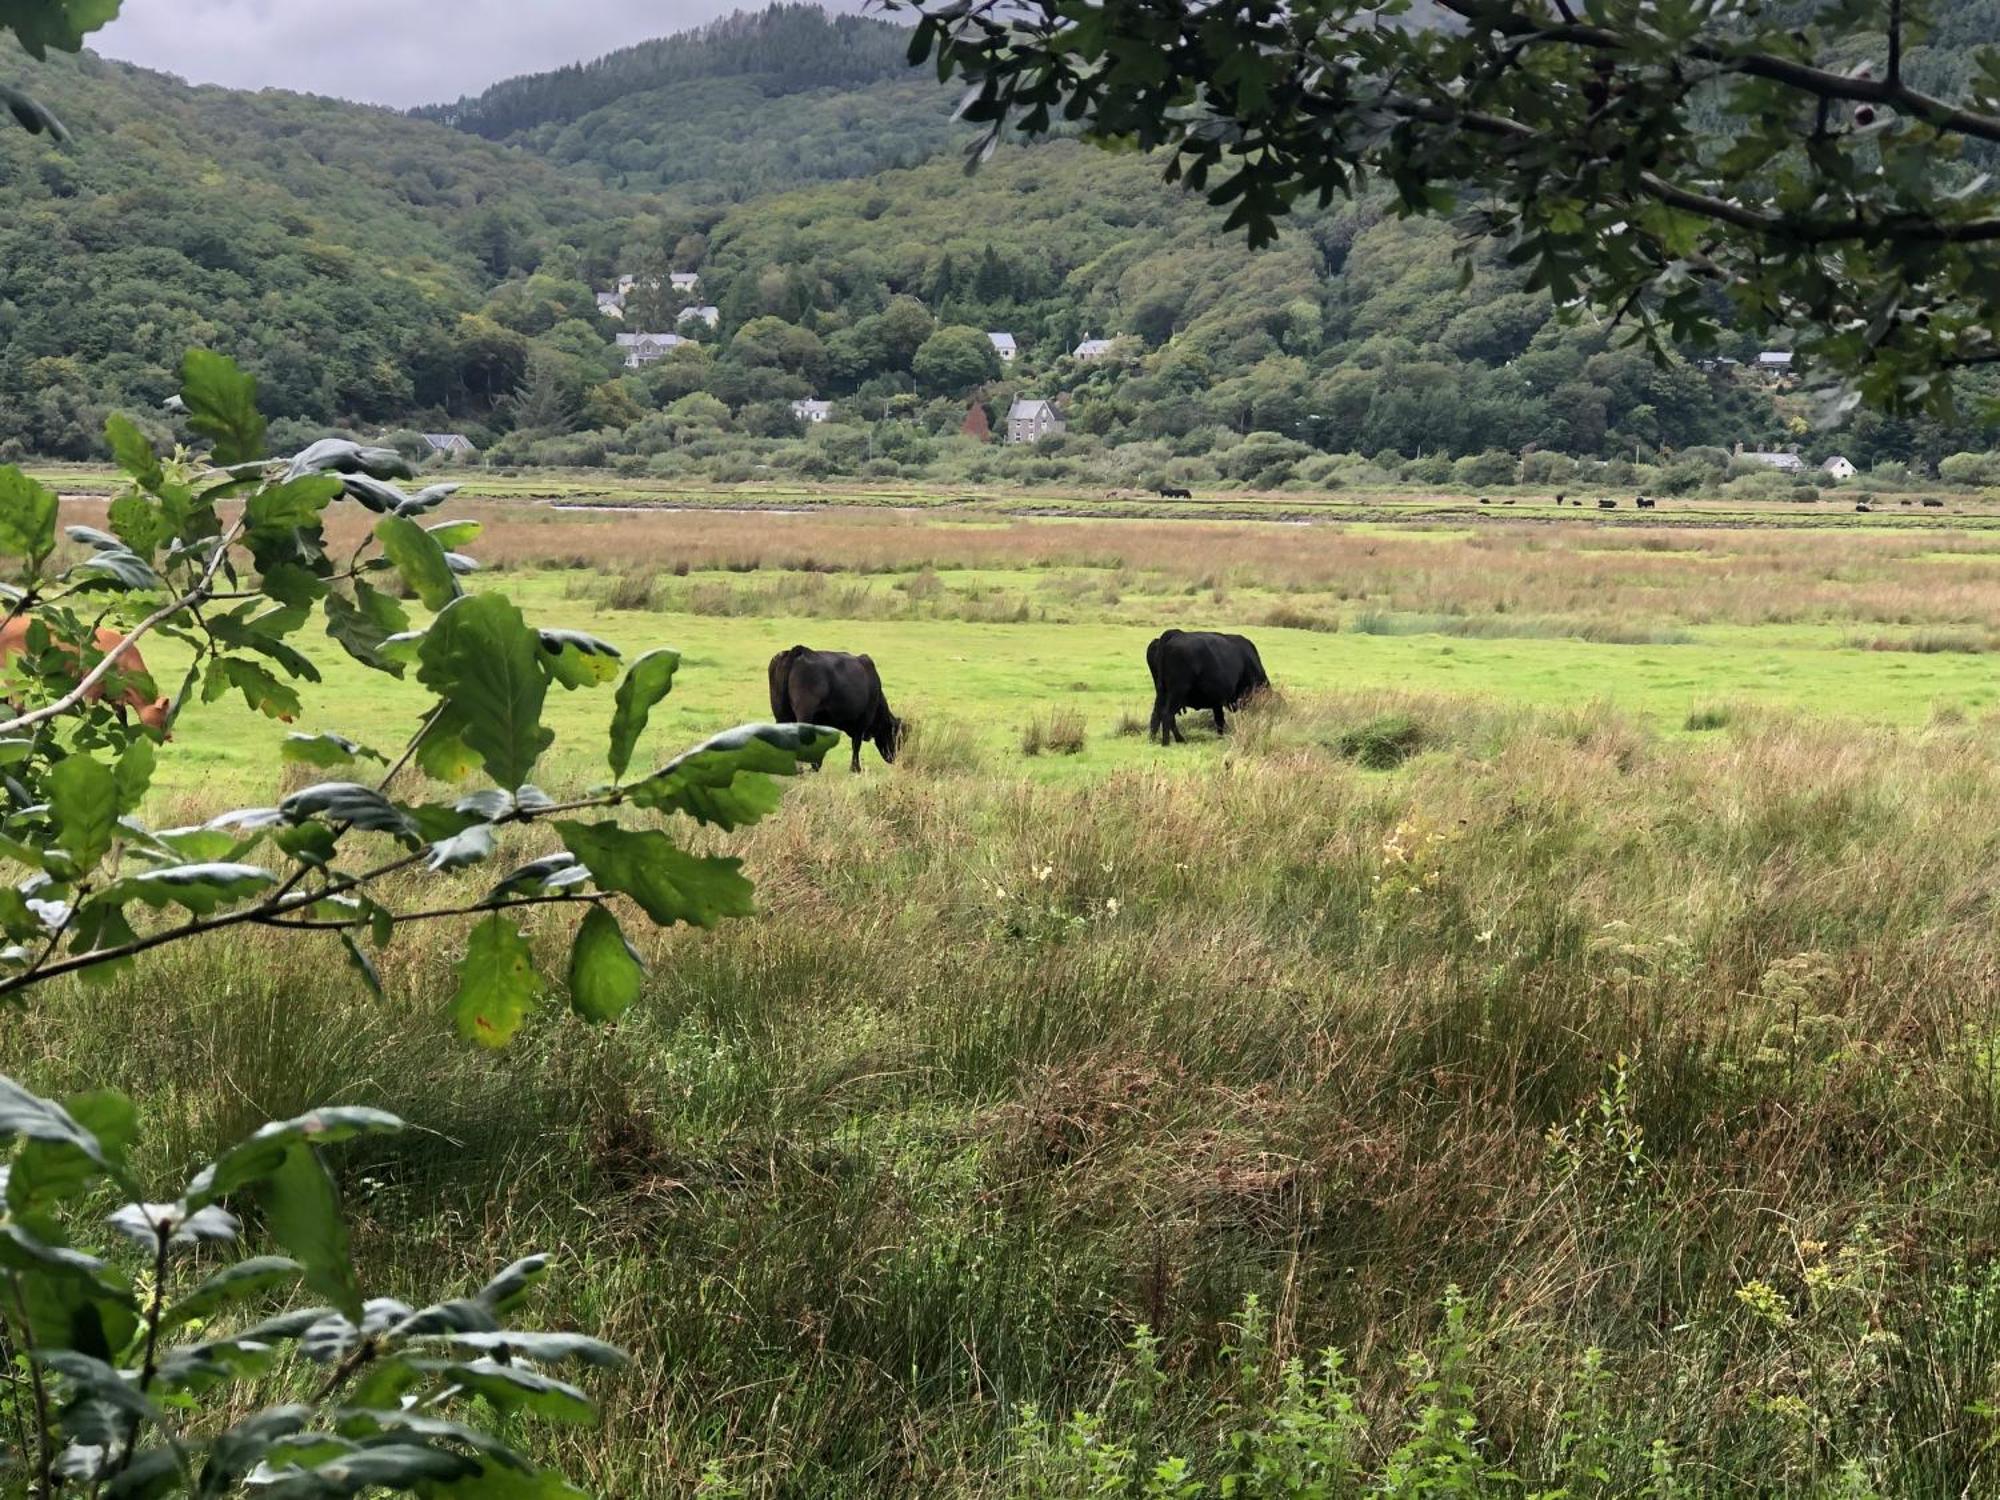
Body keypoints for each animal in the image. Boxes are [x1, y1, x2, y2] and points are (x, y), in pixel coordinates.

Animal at [0, 616, 170, 736]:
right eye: (163, 716)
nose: (169, 737)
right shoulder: (92, 688)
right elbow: (89, 715)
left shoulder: (112, 695)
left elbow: (123, 717)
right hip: (14, 675)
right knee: (18, 707)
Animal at [764, 648, 900, 776]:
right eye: (898, 736)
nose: (898, 760)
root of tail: (799, 650)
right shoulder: (862, 721)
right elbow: (856, 745)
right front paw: (855, 769)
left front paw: (816, 765)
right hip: (804, 714)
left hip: (780, 713)